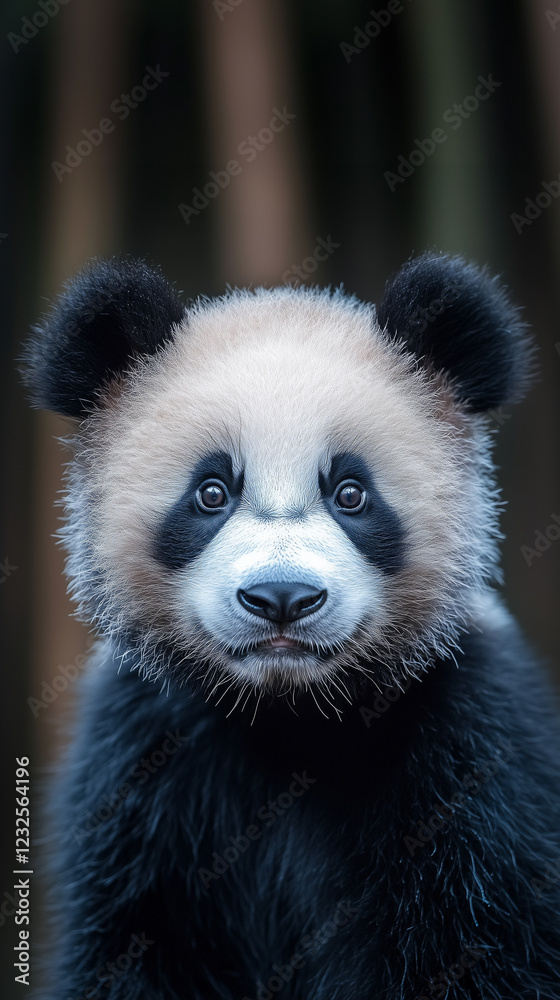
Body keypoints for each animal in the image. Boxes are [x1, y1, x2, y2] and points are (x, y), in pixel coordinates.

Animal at [23, 252, 560, 999]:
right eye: (211, 492)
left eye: (351, 493)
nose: (282, 597)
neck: (291, 714)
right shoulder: (141, 766)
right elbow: (130, 946)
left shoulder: (473, 753)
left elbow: (483, 945)